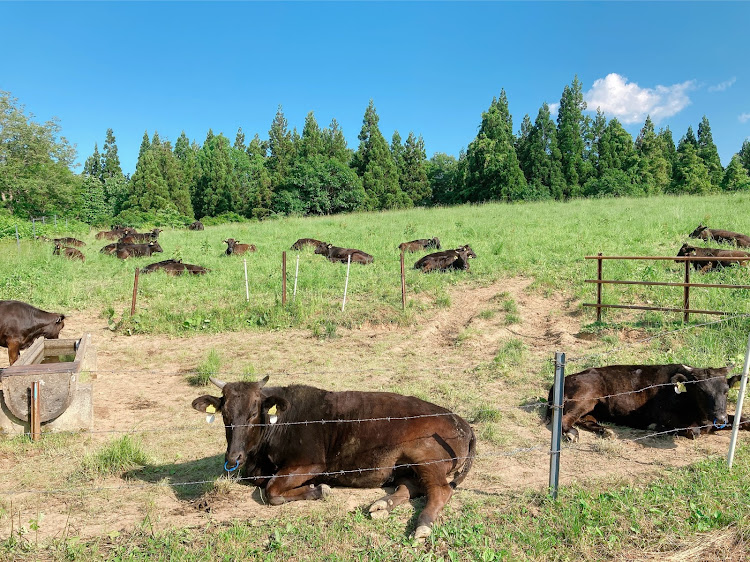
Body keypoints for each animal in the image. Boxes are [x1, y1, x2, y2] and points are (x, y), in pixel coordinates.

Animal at [194, 376, 476, 540]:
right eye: (225, 415)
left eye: (254, 413)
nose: (233, 457)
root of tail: (461, 421)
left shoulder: (310, 463)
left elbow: (271, 491)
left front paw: (319, 489)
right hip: (406, 465)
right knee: (412, 486)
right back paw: (382, 505)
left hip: (425, 458)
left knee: (440, 491)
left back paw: (423, 526)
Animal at [544, 364, 748, 442]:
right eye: (702, 390)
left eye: (726, 390)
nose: (720, 418)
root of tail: (567, 376)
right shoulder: (666, 417)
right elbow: (694, 431)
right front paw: (657, 428)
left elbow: (744, 419)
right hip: (586, 397)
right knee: (565, 418)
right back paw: (572, 434)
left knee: (584, 419)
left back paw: (606, 431)